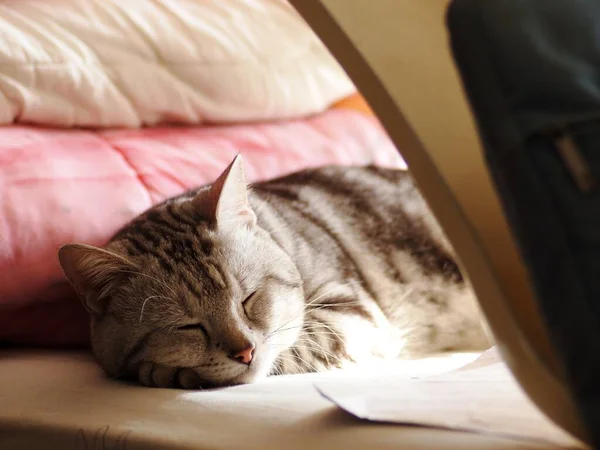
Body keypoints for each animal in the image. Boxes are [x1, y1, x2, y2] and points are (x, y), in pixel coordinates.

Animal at [56, 156, 490, 388]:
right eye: (187, 325)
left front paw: (167, 373)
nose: (245, 351)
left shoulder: (354, 313)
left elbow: (303, 343)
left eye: (249, 299)